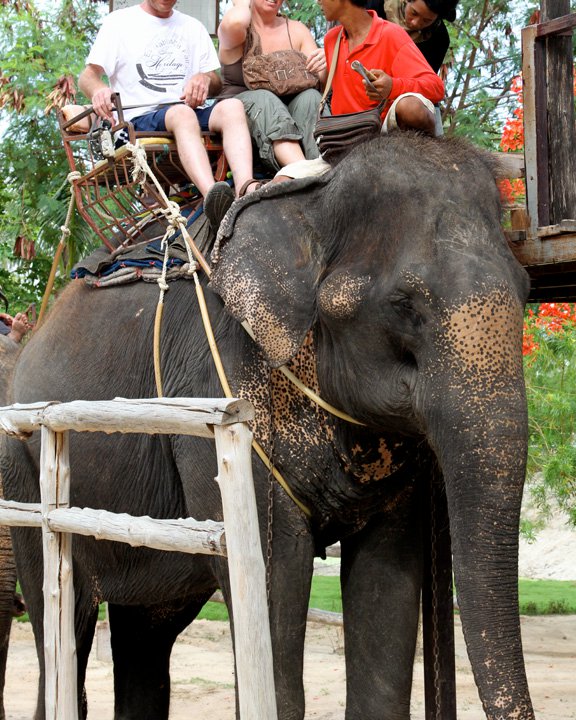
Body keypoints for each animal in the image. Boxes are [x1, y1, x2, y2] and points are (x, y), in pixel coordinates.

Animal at [1, 134, 536, 720]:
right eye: (404, 305)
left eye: (527, 289)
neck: (312, 200)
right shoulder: (220, 382)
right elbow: (272, 574)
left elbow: (388, 585)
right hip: (25, 476)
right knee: (64, 624)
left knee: (146, 632)